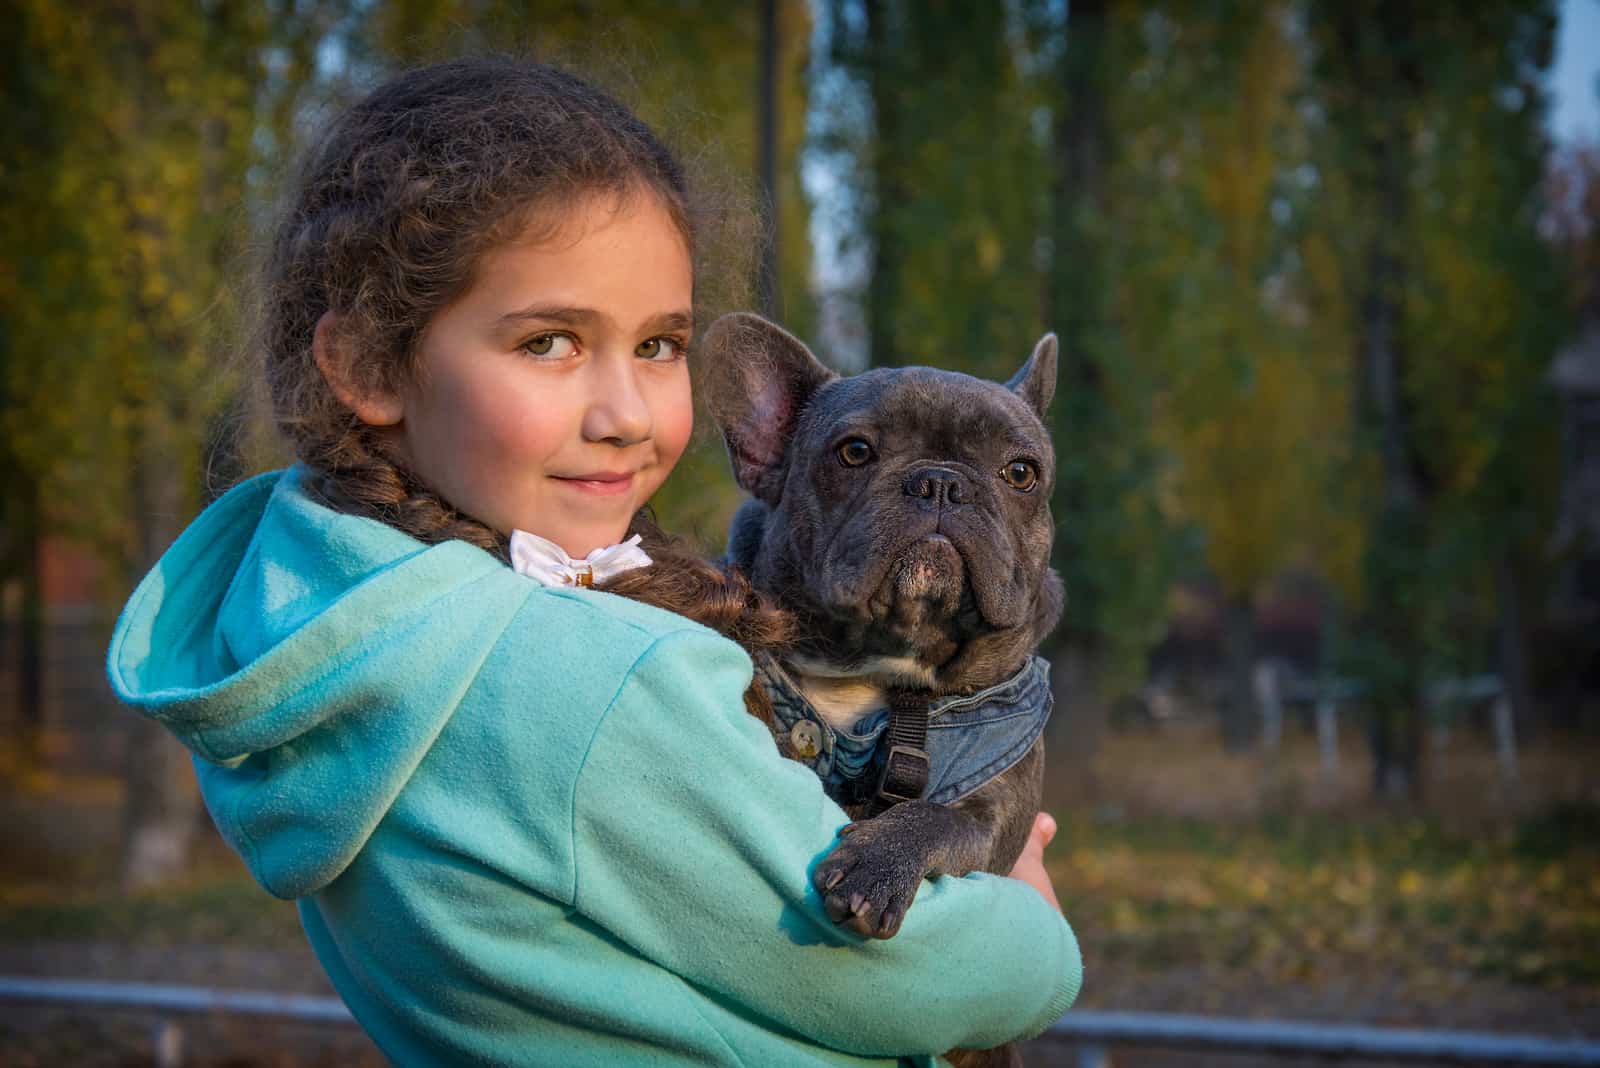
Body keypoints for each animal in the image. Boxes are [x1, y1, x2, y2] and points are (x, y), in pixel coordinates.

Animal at [704, 308, 1062, 1048]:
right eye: (855, 453)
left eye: (1021, 472)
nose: (940, 481)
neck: (881, 671)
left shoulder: (1000, 814)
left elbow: (932, 816)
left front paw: (876, 866)